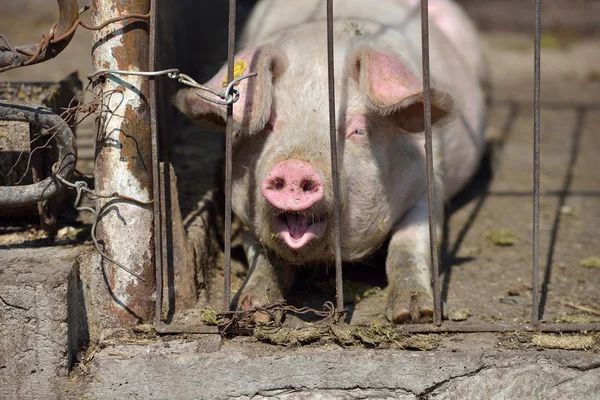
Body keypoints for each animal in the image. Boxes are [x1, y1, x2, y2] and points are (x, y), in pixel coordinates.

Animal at [176, 0, 486, 324]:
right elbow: (264, 255)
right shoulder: (243, 211)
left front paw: (413, 314)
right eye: (269, 123)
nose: (295, 168)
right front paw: (254, 310)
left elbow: (407, 245)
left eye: (358, 130)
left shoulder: (428, 185)